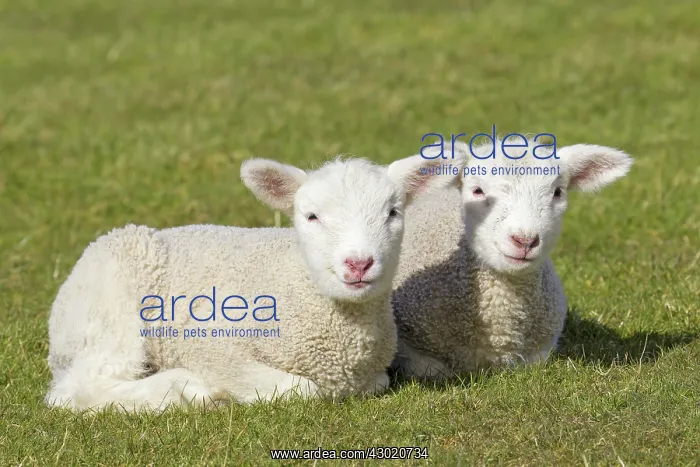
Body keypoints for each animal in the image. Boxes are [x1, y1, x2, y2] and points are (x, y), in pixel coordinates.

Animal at [45, 154, 460, 411]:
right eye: (311, 216)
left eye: (393, 212)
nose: (358, 263)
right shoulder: (215, 348)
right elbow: (302, 389)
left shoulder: (373, 375)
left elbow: (380, 382)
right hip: (111, 312)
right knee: (78, 390)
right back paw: (189, 390)